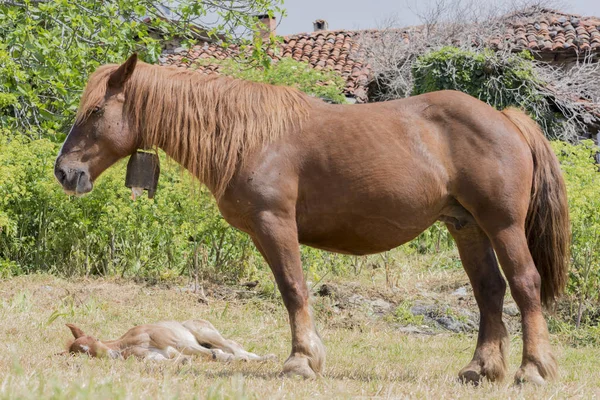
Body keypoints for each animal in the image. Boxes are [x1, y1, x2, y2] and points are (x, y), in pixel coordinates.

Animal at [54, 54, 568, 386]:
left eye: (96, 110)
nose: (65, 171)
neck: (250, 136)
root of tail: (505, 117)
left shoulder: (275, 224)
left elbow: (292, 289)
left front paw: (301, 361)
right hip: (468, 226)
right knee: (489, 292)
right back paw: (481, 370)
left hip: (501, 225)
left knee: (524, 285)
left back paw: (532, 370)